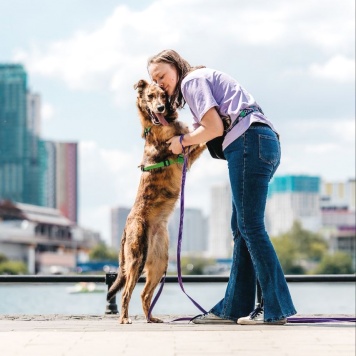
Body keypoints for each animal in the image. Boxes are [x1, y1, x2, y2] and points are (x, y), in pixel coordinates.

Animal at [106, 79, 206, 324]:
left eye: (163, 96)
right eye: (150, 96)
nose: (160, 108)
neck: (156, 125)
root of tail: (126, 227)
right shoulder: (185, 152)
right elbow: (204, 141)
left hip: (160, 263)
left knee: (144, 293)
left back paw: (151, 318)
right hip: (136, 260)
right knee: (126, 292)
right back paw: (124, 319)